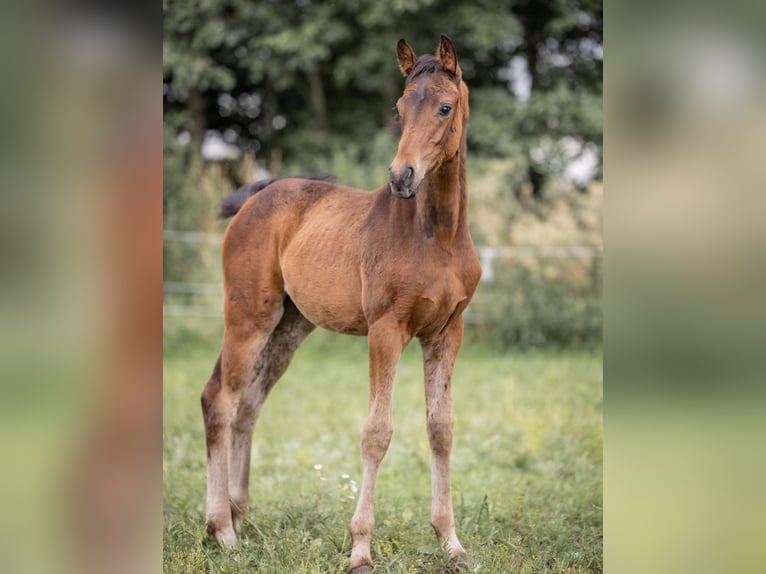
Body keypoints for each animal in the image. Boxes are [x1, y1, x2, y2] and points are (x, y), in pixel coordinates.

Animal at [201, 35, 482, 573]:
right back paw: (222, 531)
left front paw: (450, 542)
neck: (436, 235)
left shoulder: (446, 333)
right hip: (248, 316)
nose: (401, 176)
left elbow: (441, 428)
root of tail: (258, 196)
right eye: (398, 109)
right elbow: (377, 431)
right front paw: (360, 550)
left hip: (290, 325)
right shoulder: (387, 330)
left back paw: (239, 516)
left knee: (249, 403)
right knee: (220, 401)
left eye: (444, 106)